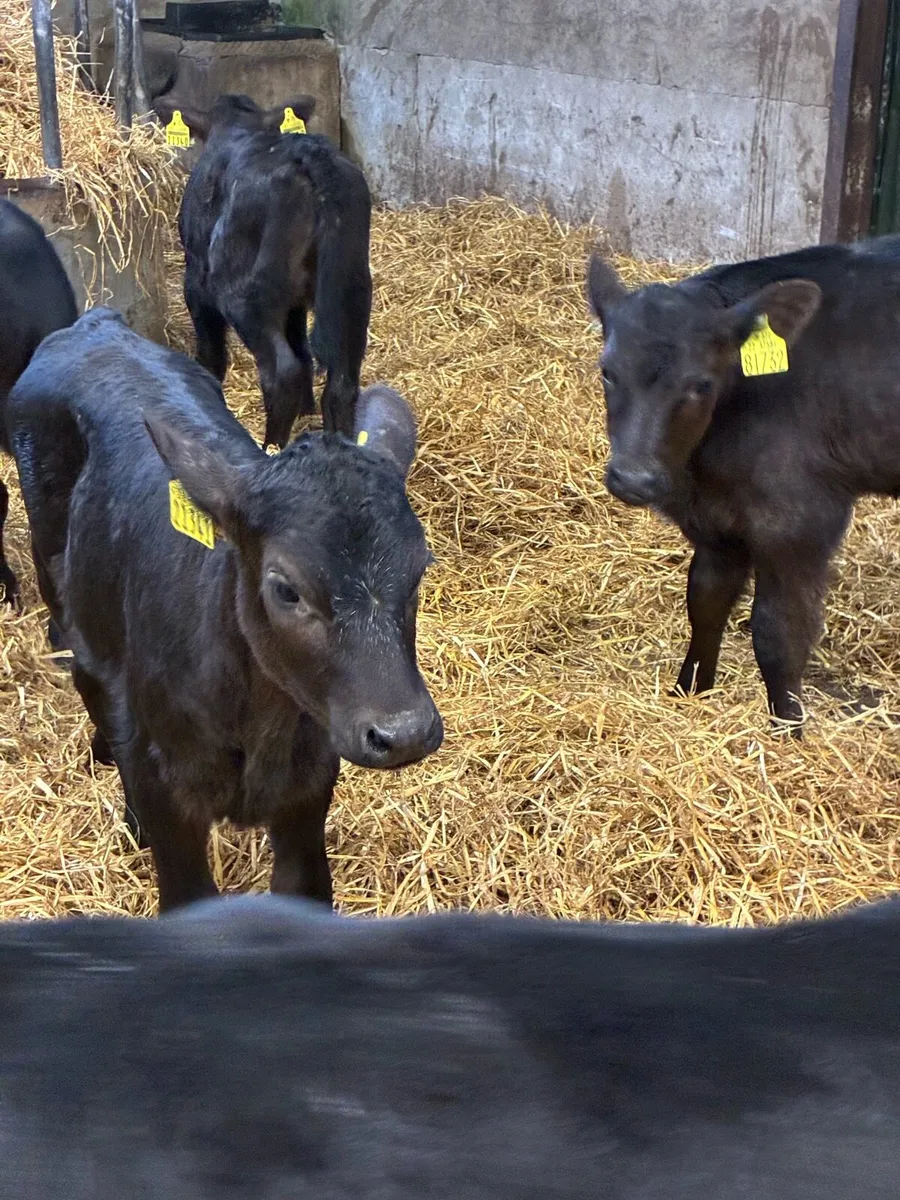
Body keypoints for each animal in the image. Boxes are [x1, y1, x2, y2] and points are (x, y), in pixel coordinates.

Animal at [6, 307, 442, 912]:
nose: (403, 732)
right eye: (286, 589)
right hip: (63, 585)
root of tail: (94, 324)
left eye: (420, 566)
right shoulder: (166, 785)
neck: (257, 719)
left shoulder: (309, 783)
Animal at [153, 91, 372, 449]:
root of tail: (307, 155)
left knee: (282, 373)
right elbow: (301, 344)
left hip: (245, 294)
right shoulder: (295, 300)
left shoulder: (195, 279)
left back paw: (270, 446)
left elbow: (212, 350)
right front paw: (306, 411)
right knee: (341, 379)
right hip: (352, 286)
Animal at [587, 236, 900, 733]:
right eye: (607, 371)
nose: (633, 478)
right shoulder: (715, 523)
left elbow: (777, 633)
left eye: (700, 384)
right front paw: (689, 692)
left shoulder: (798, 521)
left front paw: (788, 729)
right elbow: (705, 603)